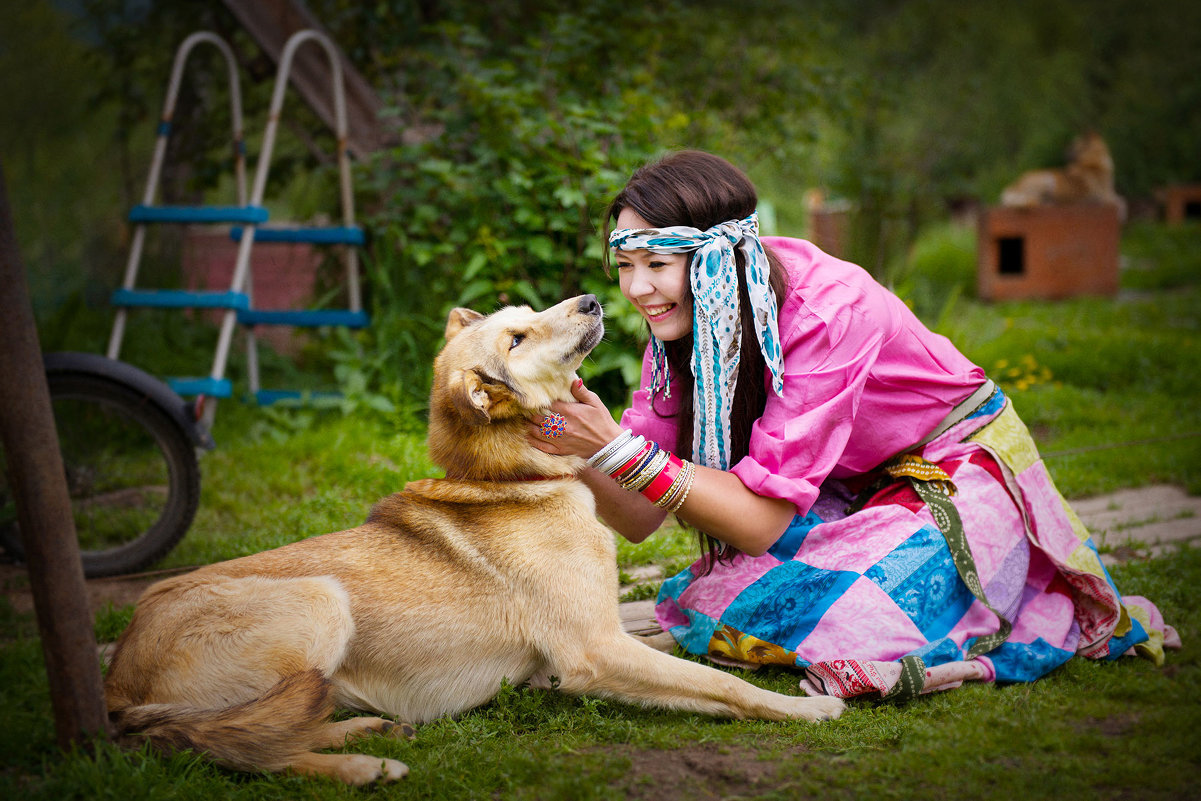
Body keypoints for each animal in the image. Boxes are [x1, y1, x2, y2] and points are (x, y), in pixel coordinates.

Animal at [105, 294, 845, 782]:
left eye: (527, 311)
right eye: (515, 339)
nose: (591, 298)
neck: (516, 477)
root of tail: (117, 685)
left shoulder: (590, 644)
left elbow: (683, 649)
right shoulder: (592, 652)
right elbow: (719, 685)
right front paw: (808, 709)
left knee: (266, 730)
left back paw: (366, 728)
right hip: (320, 599)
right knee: (244, 752)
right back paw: (364, 765)